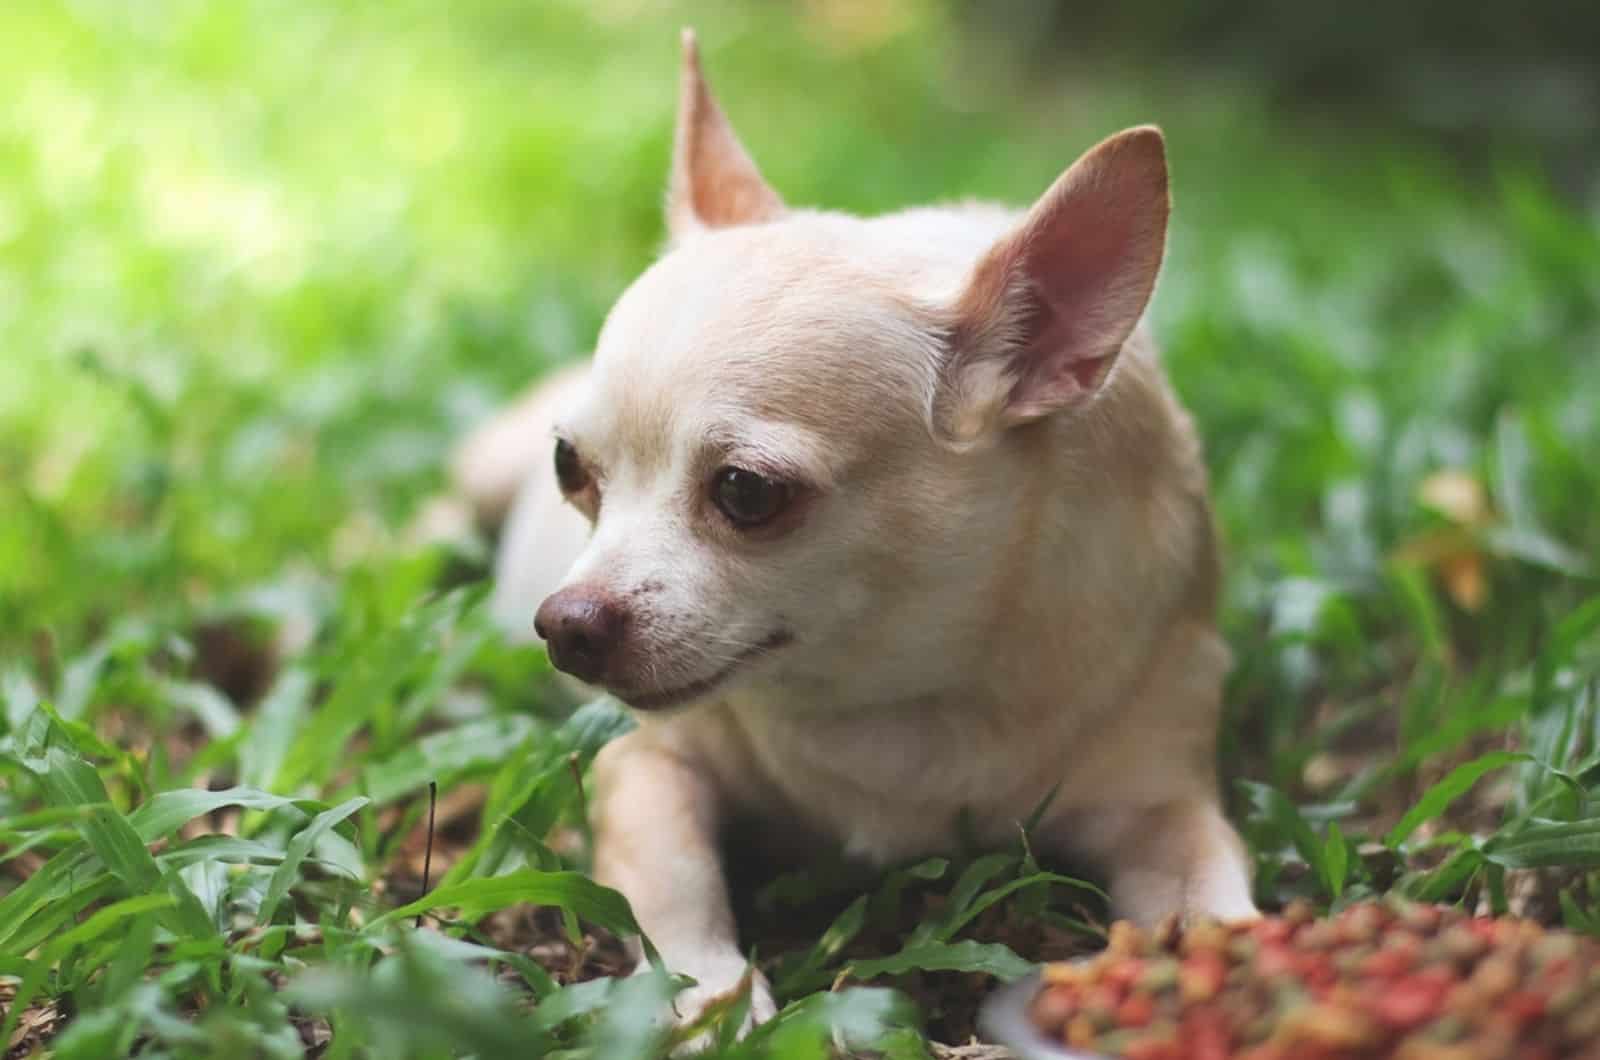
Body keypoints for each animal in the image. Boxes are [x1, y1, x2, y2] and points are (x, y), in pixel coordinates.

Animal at [454, 31, 1260, 1037]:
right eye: (572, 469)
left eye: (747, 493)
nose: (565, 623)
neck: (901, 690)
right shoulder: (647, 764)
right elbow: (673, 888)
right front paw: (712, 1000)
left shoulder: (1160, 802)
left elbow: (1213, 893)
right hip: (482, 469)